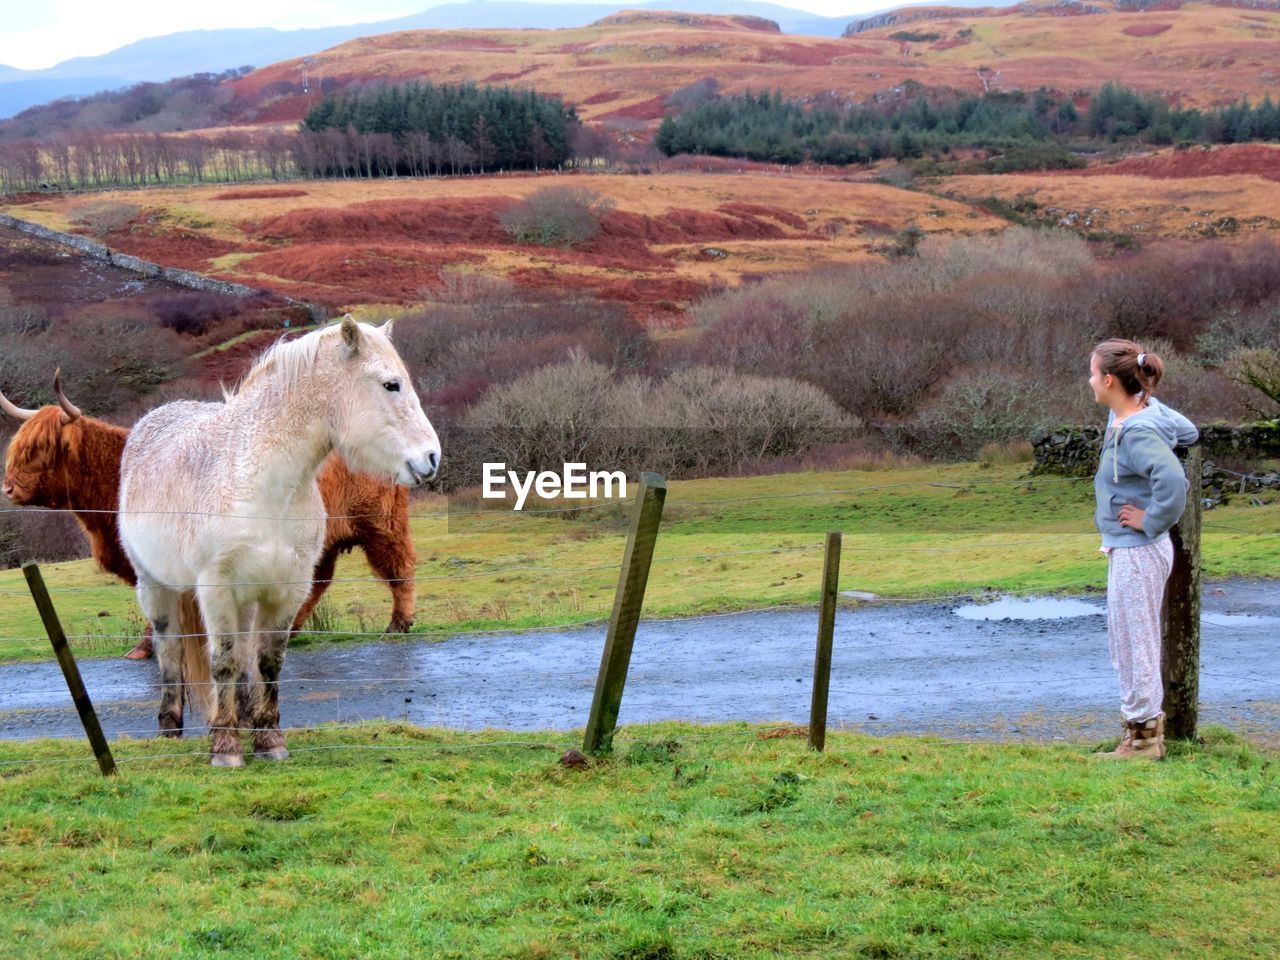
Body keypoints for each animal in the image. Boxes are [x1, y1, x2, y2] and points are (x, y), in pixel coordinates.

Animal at [120, 320, 440, 773]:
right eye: (391, 384)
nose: (431, 458)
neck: (261, 484)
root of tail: (152, 420)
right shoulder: (216, 590)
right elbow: (222, 662)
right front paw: (226, 748)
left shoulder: (285, 590)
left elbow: (266, 663)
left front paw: (269, 740)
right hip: (156, 587)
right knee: (172, 651)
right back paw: (170, 727)